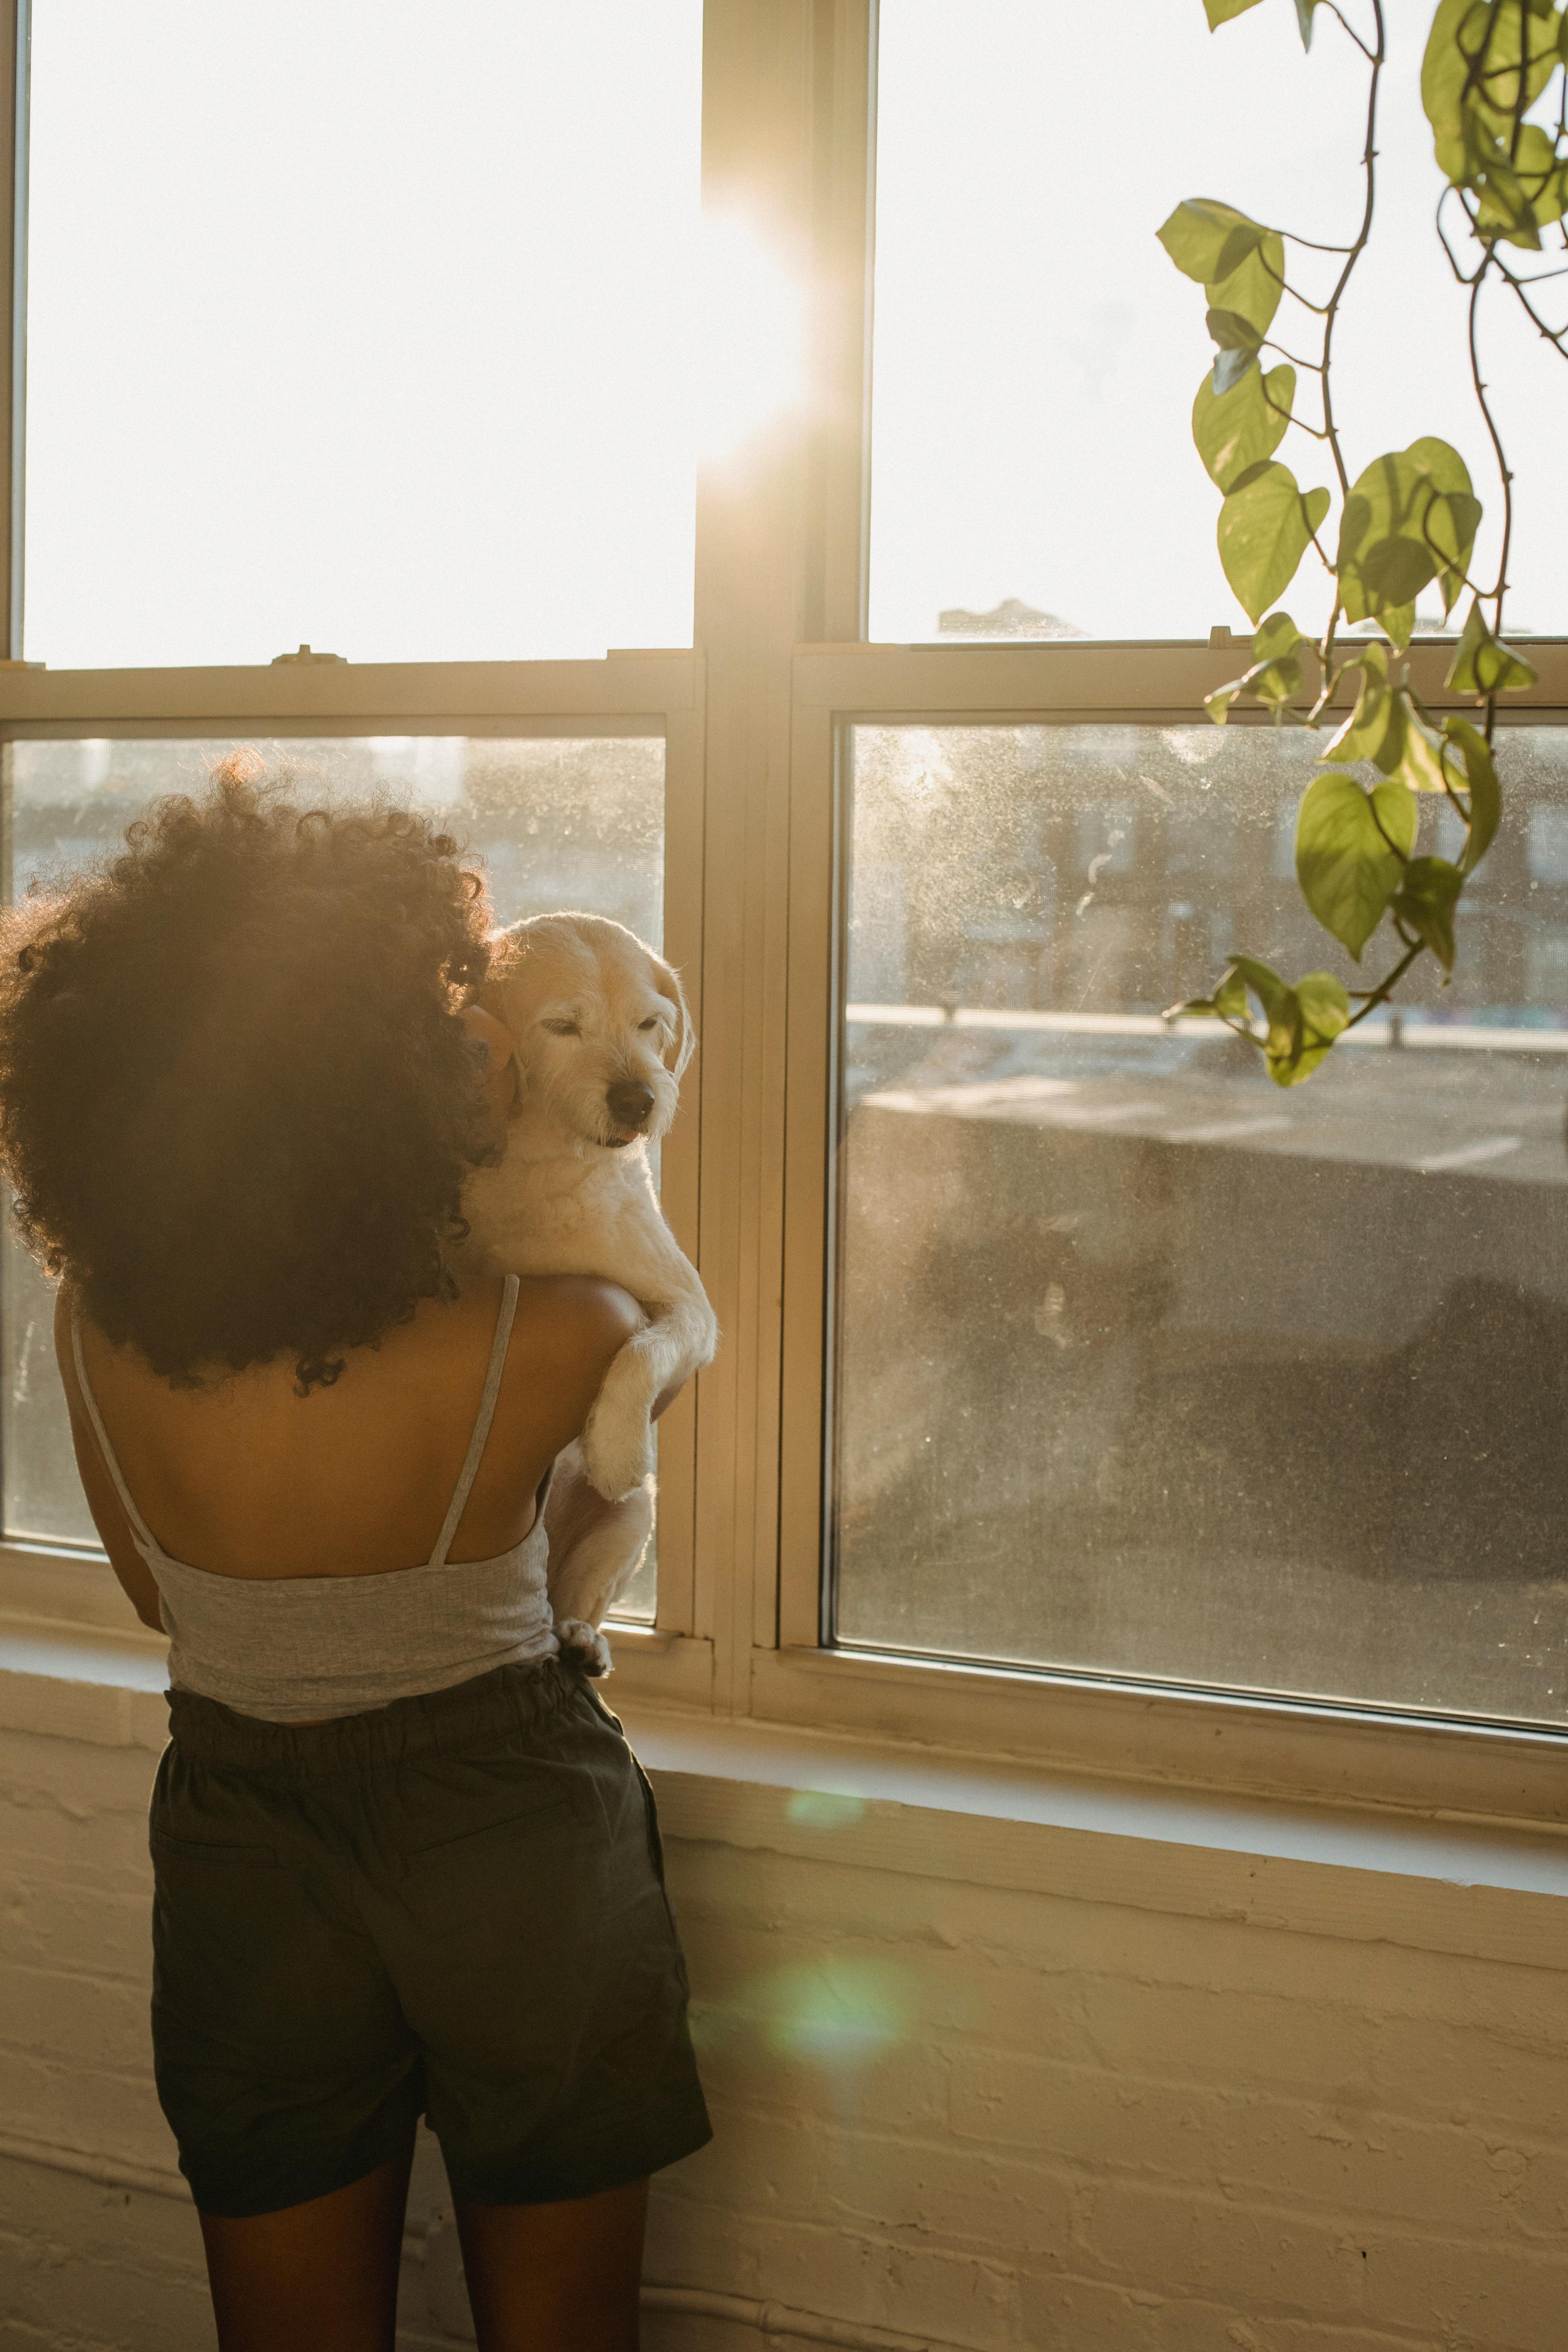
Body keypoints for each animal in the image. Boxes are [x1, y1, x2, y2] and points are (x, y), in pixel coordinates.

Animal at [461, 908, 719, 1665]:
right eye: (561, 1025)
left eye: (649, 1022)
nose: (638, 1099)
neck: (545, 1159)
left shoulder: (691, 1309)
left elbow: (642, 1349)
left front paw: (614, 1447)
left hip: (632, 1519)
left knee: (574, 1595)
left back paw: (580, 1638)